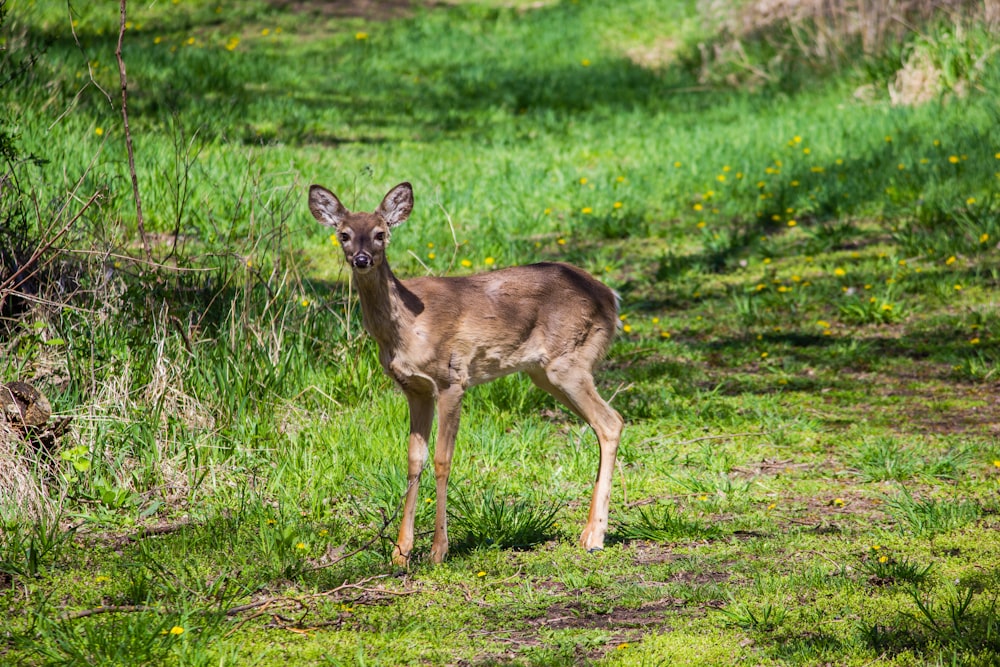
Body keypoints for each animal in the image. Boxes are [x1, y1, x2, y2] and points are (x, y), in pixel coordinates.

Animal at [308, 181, 620, 564]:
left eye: (381, 233)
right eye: (344, 235)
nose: (362, 259)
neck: (406, 329)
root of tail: (611, 296)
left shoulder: (452, 379)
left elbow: (443, 459)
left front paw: (438, 550)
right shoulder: (414, 389)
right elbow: (414, 460)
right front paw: (401, 551)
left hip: (569, 361)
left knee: (611, 421)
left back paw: (594, 536)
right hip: (545, 371)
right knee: (604, 424)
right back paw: (590, 532)